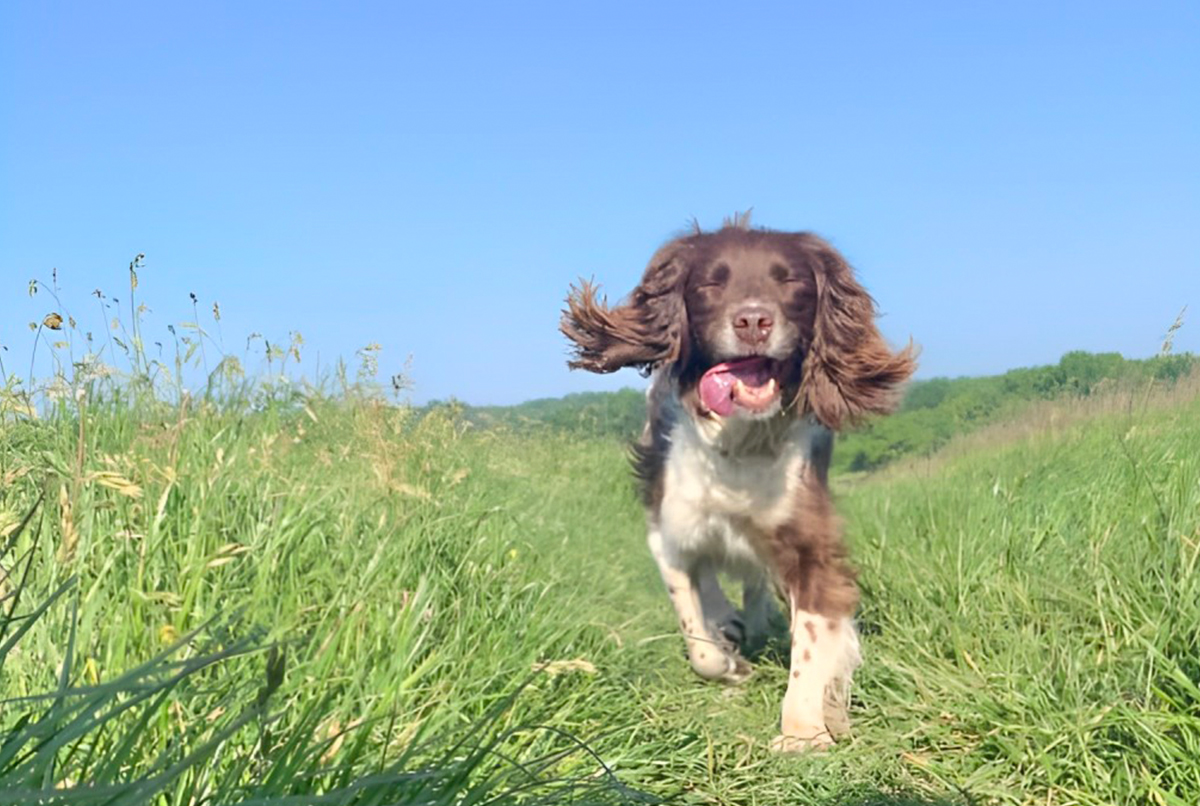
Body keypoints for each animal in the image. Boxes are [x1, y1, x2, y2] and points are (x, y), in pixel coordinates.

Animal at [556, 213, 912, 748]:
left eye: (789, 280)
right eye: (710, 283)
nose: (753, 321)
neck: (741, 442)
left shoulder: (808, 540)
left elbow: (811, 640)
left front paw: (803, 731)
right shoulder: (668, 531)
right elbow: (697, 636)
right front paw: (729, 661)